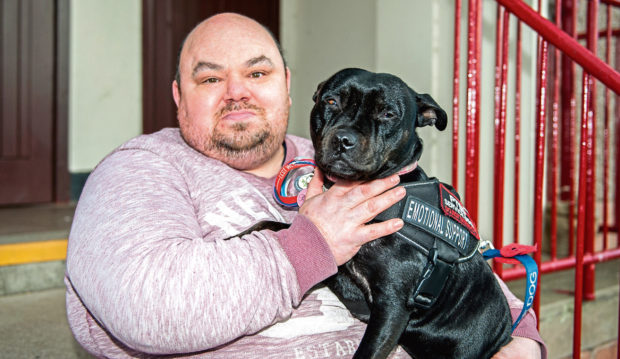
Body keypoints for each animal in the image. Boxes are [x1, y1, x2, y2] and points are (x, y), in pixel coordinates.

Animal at [235, 69, 512, 358]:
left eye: (388, 113)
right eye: (331, 101)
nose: (343, 140)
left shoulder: (391, 305)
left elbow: (367, 352)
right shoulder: (338, 270)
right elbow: (273, 225)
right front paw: (236, 237)